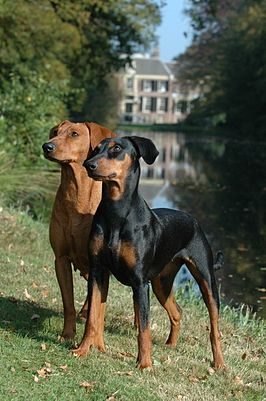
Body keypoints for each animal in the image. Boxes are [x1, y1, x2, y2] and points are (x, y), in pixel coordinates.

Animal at [42, 120, 115, 340]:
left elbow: (97, 308)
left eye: (74, 134)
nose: (46, 146)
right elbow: (68, 303)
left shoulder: (100, 263)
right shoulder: (61, 259)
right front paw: (67, 333)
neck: (76, 192)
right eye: (55, 132)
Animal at [72, 137, 224, 368]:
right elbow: (92, 317)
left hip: (205, 279)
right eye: (96, 149)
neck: (116, 213)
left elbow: (144, 327)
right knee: (177, 311)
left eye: (117, 148)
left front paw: (144, 363)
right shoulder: (98, 271)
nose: (89, 165)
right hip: (162, 283)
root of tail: (193, 220)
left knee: (214, 326)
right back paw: (170, 344)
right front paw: (82, 350)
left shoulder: (140, 282)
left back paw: (219, 363)